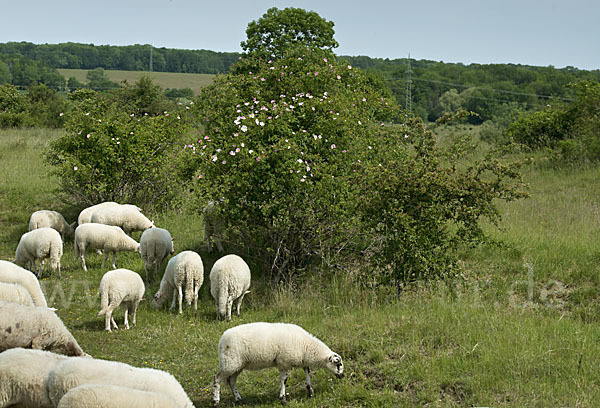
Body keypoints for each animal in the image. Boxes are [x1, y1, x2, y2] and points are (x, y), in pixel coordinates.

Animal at [212, 322, 344, 404]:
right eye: (338, 364)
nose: (342, 376)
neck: (306, 347)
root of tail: (221, 340)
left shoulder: (302, 361)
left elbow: (308, 374)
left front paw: (310, 392)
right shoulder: (284, 362)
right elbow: (284, 380)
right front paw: (283, 398)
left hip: (237, 364)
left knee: (232, 380)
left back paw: (238, 399)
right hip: (230, 362)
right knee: (217, 378)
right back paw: (216, 401)